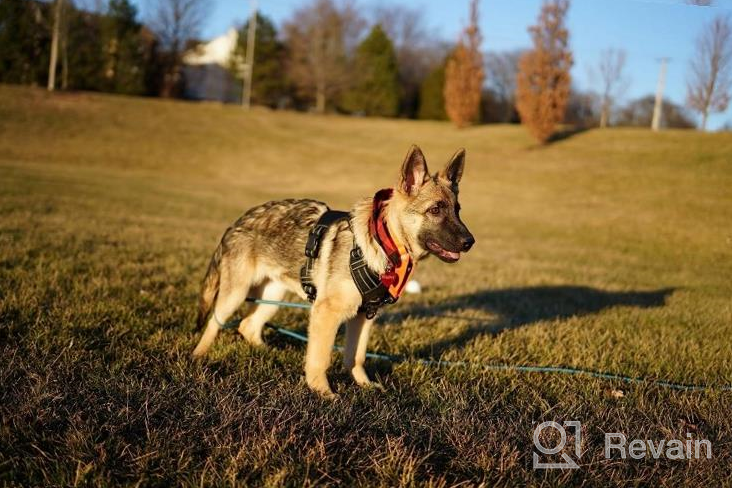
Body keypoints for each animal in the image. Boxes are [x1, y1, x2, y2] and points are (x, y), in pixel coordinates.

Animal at [192, 145, 474, 396]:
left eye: (458, 210)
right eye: (435, 210)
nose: (470, 242)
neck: (384, 242)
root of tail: (239, 220)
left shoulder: (364, 316)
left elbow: (356, 357)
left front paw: (364, 385)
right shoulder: (326, 313)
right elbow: (320, 359)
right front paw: (322, 392)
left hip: (272, 295)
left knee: (248, 325)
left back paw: (267, 352)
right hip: (236, 293)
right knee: (214, 322)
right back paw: (199, 356)